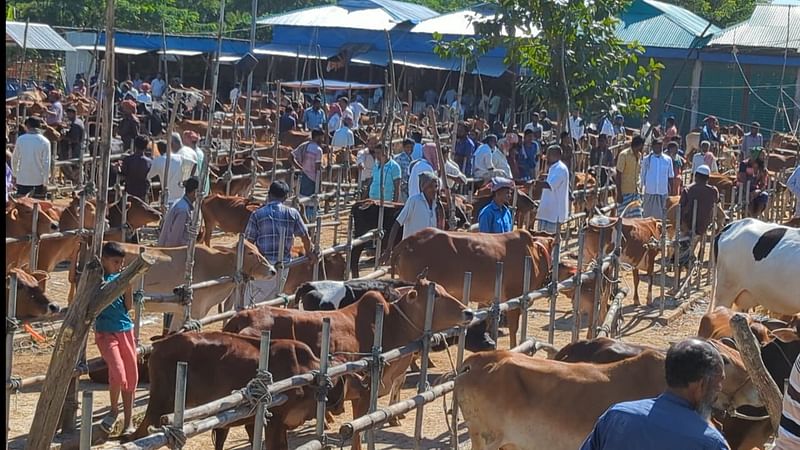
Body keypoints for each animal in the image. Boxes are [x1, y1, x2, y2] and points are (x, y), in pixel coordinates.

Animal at [222, 278, 472, 450]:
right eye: (435, 295)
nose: (468, 312)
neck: (391, 322)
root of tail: (239, 319)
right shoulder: (365, 392)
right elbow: (359, 430)